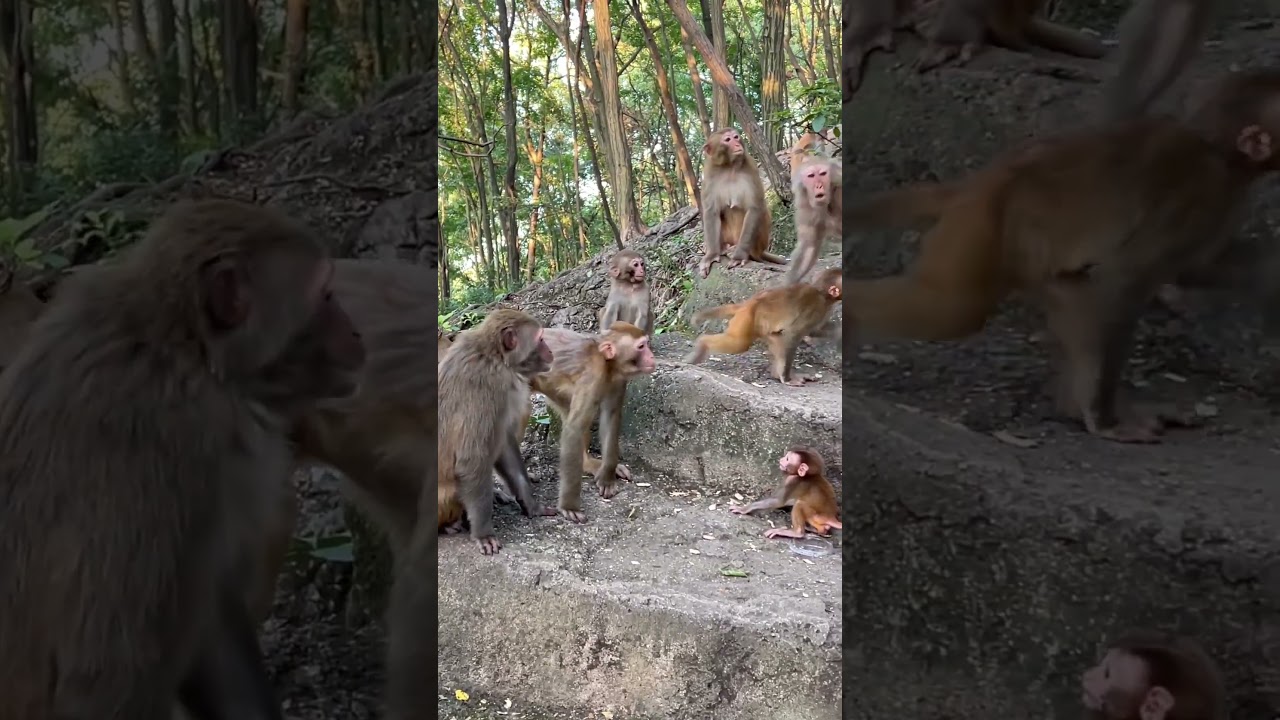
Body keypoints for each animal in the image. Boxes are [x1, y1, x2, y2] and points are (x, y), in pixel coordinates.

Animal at [530, 322, 657, 521]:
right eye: (641, 347)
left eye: (646, 345)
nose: (652, 356)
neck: (607, 363)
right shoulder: (592, 377)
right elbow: (574, 428)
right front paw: (569, 506)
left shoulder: (618, 378)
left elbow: (610, 416)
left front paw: (607, 475)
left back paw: (589, 464)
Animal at [686, 267, 842, 386]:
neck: (823, 295)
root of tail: (746, 304)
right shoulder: (817, 308)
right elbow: (793, 334)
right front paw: (786, 378)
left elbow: (815, 331)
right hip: (745, 320)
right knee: (740, 343)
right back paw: (703, 343)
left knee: (776, 338)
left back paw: (776, 374)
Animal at [697, 127, 787, 279]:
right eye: (727, 140)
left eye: (736, 137)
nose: (737, 144)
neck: (729, 167)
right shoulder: (709, 173)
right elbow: (711, 211)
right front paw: (711, 255)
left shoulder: (751, 167)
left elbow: (755, 208)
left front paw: (739, 257)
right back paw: (723, 247)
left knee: (762, 210)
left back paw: (741, 251)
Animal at [842, 69, 1280, 444]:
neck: (1219, 153)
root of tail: (976, 185)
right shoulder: (1205, 193)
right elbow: (1130, 277)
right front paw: (1106, 418)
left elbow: (1194, 268)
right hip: (978, 231)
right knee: (952, 309)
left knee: (1071, 292)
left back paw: (1074, 407)